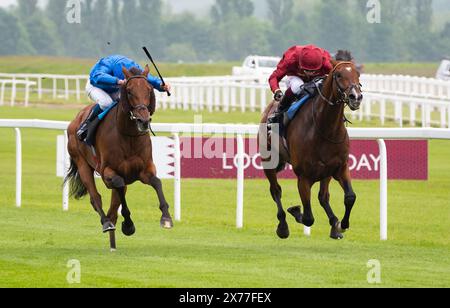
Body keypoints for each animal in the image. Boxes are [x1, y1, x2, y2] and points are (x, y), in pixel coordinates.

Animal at [64, 65, 173, 250]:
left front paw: (166, 217)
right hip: (82, 163)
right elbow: (118, 187)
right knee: (96, 198)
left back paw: (113, 244)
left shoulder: (145, 170)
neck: (128, 136)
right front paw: (128, 225)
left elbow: (157, 182)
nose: (143, 121)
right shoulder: (108, 172)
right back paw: (106, 223)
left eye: (149, 89)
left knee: (113, 209)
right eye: (129, 91)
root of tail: (76, 119)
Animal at [260, 59, 362, 238]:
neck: (325, 128)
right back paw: (283, 226)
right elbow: (308, 218)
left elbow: (350, 197)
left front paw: (342, 224)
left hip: (326, 172)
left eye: (358, 74)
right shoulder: (304, 177)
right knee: (276, 190)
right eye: (338, 75)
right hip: (269, 161)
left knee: (323, 196)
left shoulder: (340, 167)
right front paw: (295, 210)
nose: (356, 96)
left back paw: (334, 225)